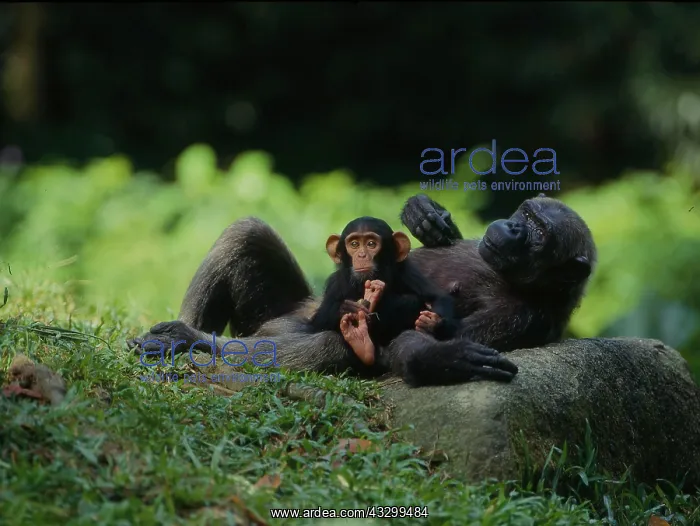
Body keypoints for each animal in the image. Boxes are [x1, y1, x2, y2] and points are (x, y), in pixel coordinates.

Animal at [303, 216, 458, 366]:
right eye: (354, 244)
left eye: (371, 244)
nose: (362, 255)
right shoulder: (335, 284)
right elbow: (317, 324)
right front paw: (347, 308)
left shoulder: (407, 272)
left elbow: (437, 297)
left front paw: (431, 323)